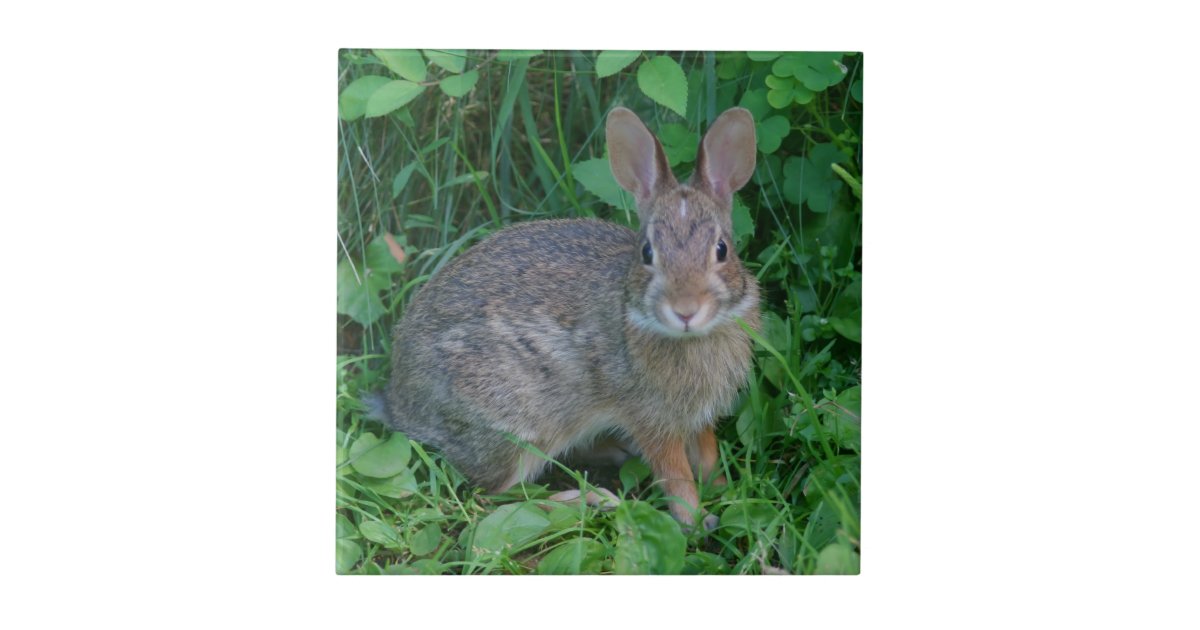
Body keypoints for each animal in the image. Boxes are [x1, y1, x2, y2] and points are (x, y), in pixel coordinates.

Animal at [375, 106, 760, 531]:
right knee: (496, 498)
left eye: (722, 249)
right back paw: (589, 499)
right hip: (520, 425)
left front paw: (725, 490)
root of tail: (400, 404)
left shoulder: (699, 417)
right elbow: (675, 474)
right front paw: (696, 519)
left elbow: (707, 455)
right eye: (646, 252)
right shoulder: (651, 418)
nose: (686, 309)